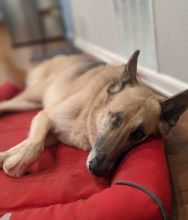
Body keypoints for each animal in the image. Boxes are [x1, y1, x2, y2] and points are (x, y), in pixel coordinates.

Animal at [0, 50, 188, 178]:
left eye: (138, 134)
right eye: (114, 118)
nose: (97, 170)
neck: (89, 114)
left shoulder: (51, 134)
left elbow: (27, 144)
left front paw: (6, 158)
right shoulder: (44, 116)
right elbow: (35, 145)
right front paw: (16, 165)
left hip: (28, 104)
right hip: (32, 96)